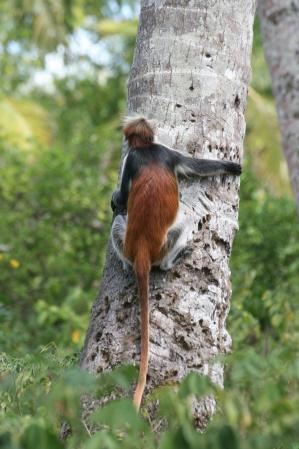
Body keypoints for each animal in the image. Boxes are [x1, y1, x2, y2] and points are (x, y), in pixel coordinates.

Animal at [111, 116, 243, 410]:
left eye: (130, 142)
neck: (148, 151)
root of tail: (142, 251)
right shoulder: (156, 154)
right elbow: (194, 165)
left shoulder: (147, 155)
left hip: (134, 241)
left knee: (120, 221)